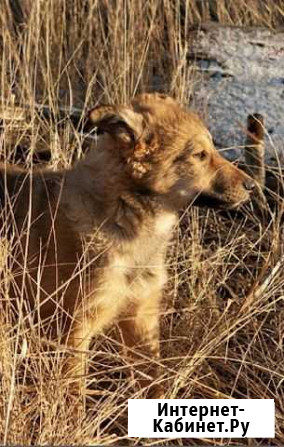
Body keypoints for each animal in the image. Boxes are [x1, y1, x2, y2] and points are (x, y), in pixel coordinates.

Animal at [0, 93, 255, 398]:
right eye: (199, 155)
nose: (253, 186)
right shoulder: (73, 329)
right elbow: (75, 395)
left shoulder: (142, 318)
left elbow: (154, 382)